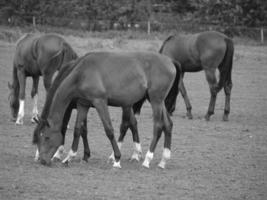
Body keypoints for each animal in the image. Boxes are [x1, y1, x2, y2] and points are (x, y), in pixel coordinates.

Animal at [32, 51, 179, 169]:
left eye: (46, 137)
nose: (42, 161)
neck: (83, 73)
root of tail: (170, 61)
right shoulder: (83, 104)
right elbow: (78, 129)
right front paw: (69, 157)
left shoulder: (100, 102)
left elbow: (109, 130)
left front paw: (117, 159)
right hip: (157, 101)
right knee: (168, 125)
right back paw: (163, 161)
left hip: (155, 100)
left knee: (158, 126)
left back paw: (147, 160)